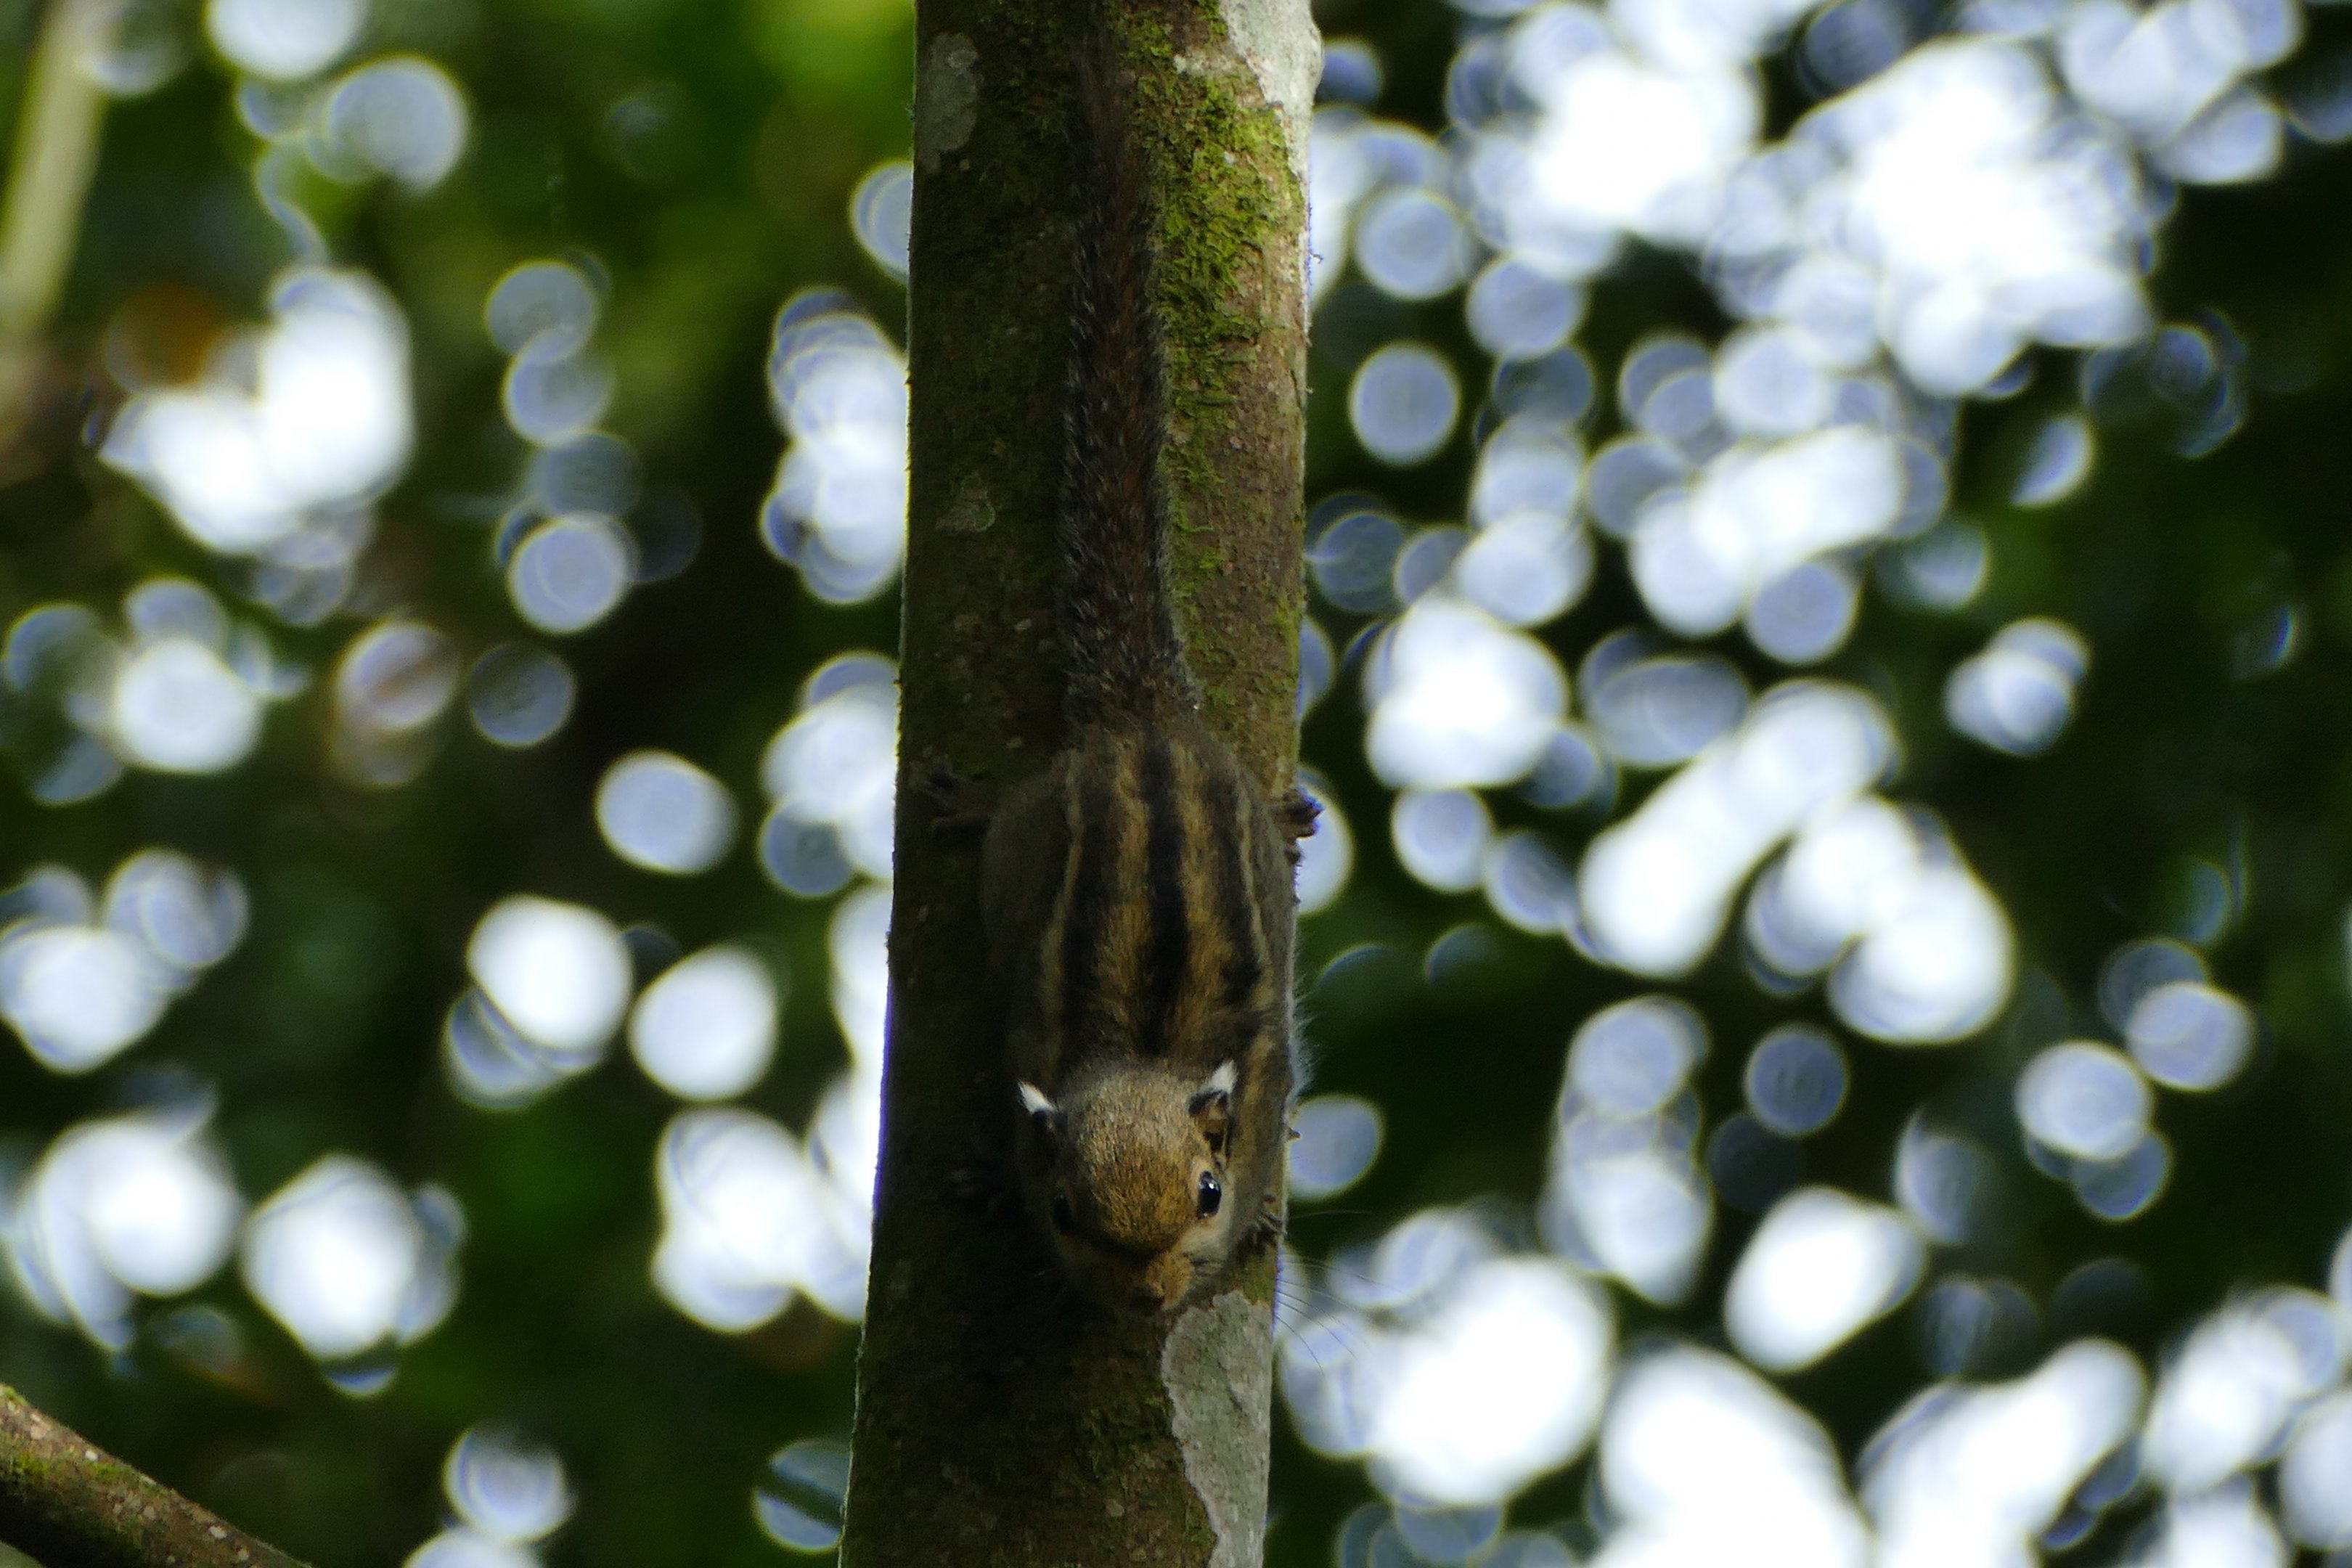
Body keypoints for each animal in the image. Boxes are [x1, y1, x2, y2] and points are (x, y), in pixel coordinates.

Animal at [952, 23, 1309, 1317]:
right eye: (1068, 1214)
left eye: (1205, 1196)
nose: (1151, 1300)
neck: (1149, 1054)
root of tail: (1141, 713)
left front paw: (1267, 1221)